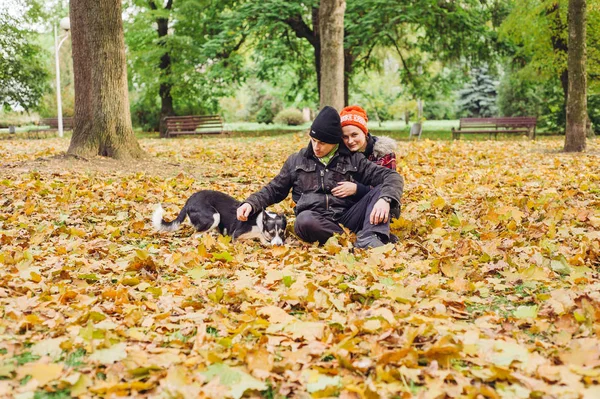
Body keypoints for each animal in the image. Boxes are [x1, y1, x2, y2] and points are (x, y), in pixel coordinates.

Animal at [154, 189, 288, 245]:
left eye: (282, 233)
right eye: (271, 233)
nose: (278, 246)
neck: (260, 221)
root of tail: (189, 201)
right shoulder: (236, 234)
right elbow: (259, 235)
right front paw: (265, 241)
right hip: (214, 217)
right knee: (194, 236)